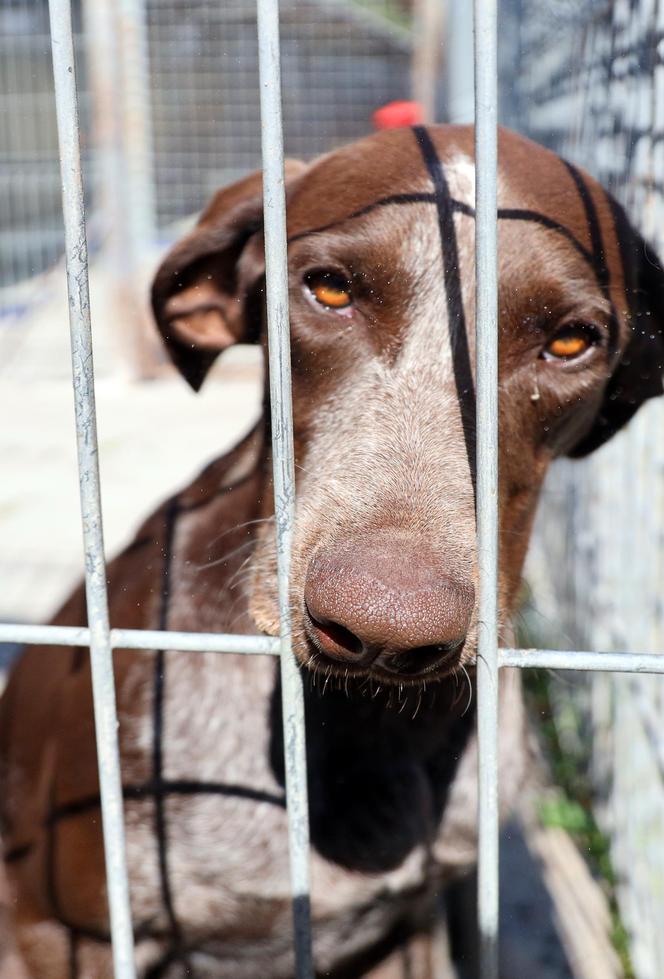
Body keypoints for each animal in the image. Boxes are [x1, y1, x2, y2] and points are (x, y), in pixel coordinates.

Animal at [1, 124, 664, 979]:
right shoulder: (58, 928)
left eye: (571, 340)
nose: (385, 627)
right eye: (329, 291)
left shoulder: (408, 927)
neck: (360, 730)